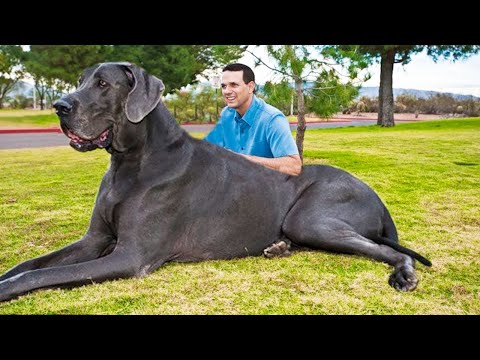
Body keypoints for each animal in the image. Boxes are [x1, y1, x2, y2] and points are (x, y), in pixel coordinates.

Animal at [0, 62, 432, 300]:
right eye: (81, 79)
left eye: (103, 84)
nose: (59, 107)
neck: (131, 161)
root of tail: (379, 199)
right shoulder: (94, 240)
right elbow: (29, 263)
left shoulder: (130, 256)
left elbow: (42, 274)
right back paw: (278, 248)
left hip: (310, 218)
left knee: (390, 250)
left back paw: (404, 273)